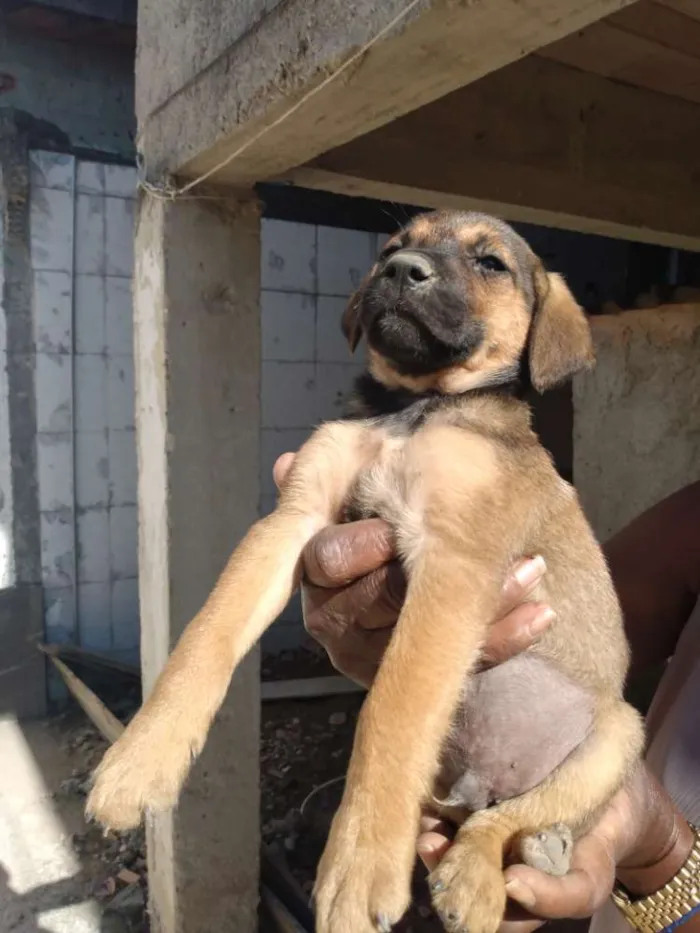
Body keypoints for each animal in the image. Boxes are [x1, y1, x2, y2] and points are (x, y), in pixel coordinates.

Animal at [87, 209, 644, 932]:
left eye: (490, 263)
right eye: (392, 247)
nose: (402, 271)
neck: (413, 412)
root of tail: (479, 785)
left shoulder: (453, 564)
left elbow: (391, 709)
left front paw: (358, 864)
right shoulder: (293, 520)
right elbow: (205, 635)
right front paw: (139, 760)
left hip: (618, 734)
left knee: (506, 820)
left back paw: (493, 872)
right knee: (473, 812)